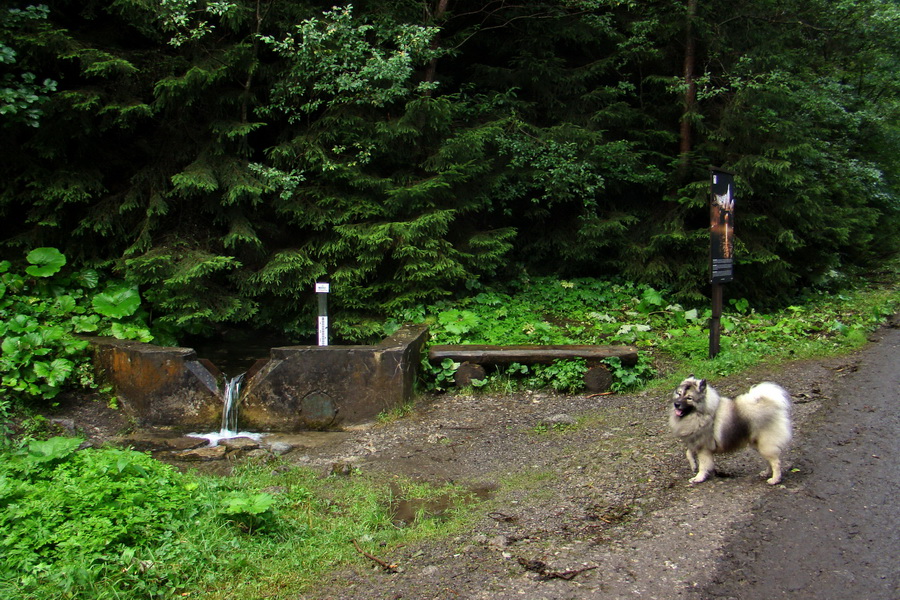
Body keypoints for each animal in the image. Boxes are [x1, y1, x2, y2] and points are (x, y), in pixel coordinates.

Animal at [668, 378, 796, 486]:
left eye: (689, 398)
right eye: (679, 394)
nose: (676, 404)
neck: (701, 414)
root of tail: (772, 404)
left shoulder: (704, 448)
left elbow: (703, 465)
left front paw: (698, 478)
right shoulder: (694, 441)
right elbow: (688, 452)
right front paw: (693, 465)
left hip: (765, 444)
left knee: (776, 462)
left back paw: (775, 479)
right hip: (758, 444)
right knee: (769, 460)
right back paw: (766, 473)